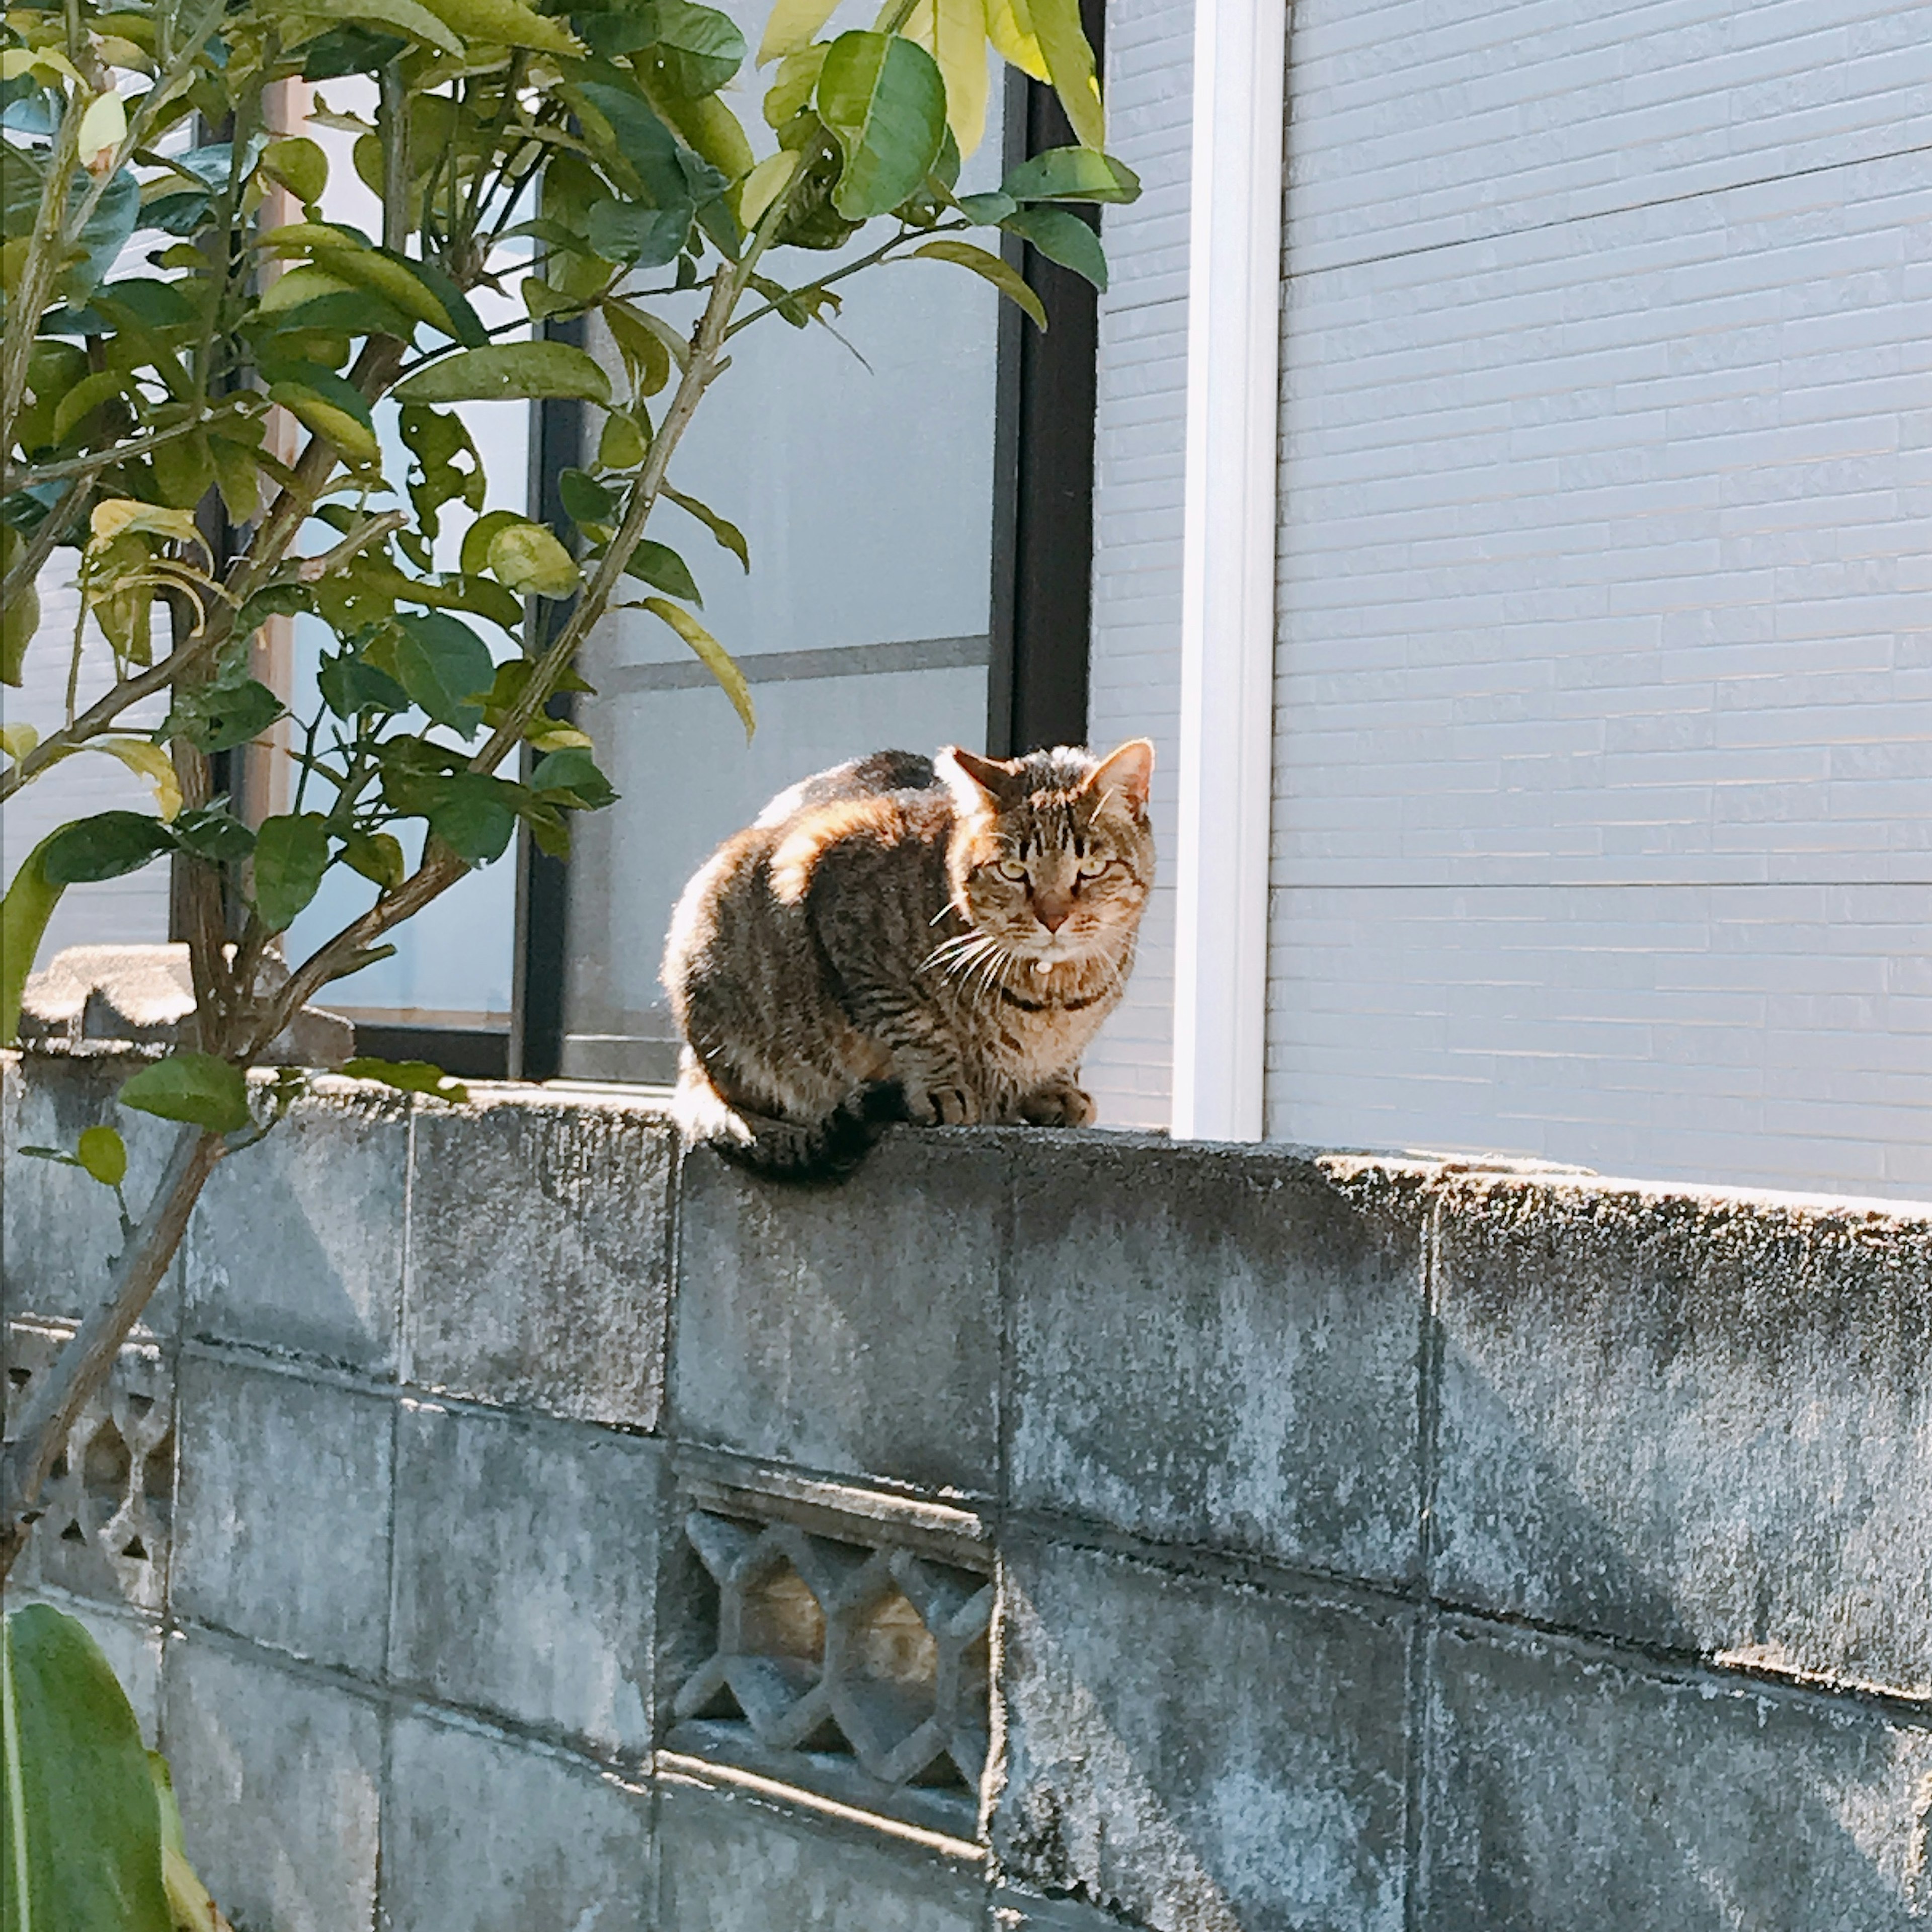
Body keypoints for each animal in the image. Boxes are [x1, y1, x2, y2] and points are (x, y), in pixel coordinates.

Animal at [668, 734, 1144, 1159]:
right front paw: (942, 1088)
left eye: (1092, 868)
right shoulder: (837, 899)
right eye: (1012, 871)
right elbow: (915, 1025)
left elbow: (1064, 1057)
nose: (1053, 918)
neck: (1052, 996)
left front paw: (1056, 1088)